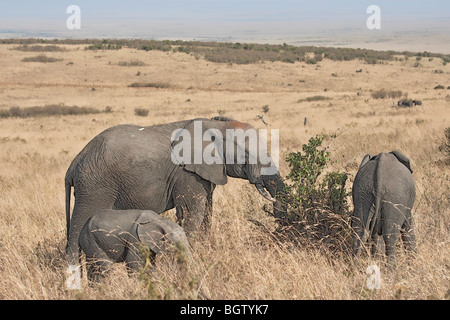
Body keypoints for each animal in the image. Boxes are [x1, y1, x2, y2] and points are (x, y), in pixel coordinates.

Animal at [65, 116, 286, 274]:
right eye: (246, 154)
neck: (217, 124)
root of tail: (75, 163)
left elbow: (206, 212)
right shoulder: (187, 174)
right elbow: (191, 214)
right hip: (94, 188)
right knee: (77, 230)